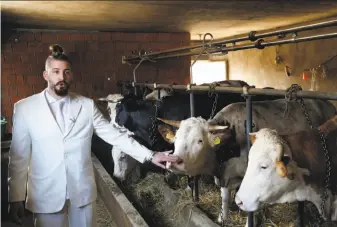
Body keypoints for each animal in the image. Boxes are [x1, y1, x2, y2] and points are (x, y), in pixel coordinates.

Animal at [156, 98, 334, 224]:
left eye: (199, 140)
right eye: (176, 138)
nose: (173, 161)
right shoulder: (225, 175)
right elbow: (225, 197)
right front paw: (222, 218)